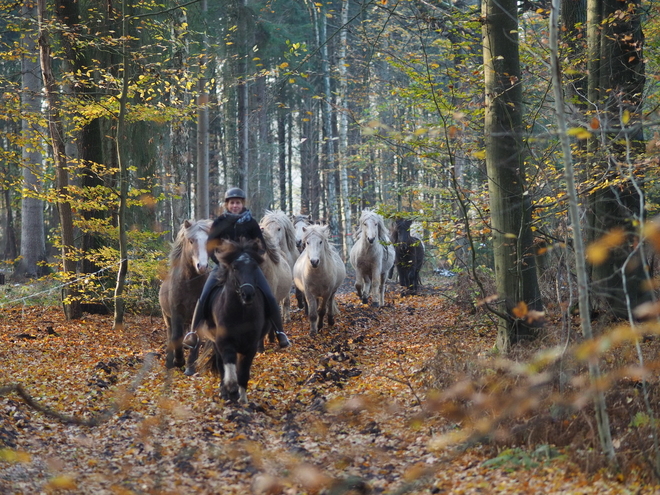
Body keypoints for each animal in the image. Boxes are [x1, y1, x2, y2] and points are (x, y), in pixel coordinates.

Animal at [196, 238, 270, 404]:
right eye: (235, 267)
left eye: (255, 267)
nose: (247, 294)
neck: (240, 314)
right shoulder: (225, 342)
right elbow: (228, 366)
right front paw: (230, 390)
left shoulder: (250, 346)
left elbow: (243, 373)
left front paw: (242, 399)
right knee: (221, 364)